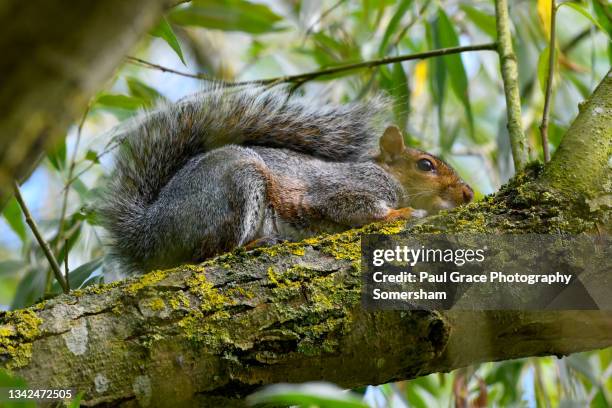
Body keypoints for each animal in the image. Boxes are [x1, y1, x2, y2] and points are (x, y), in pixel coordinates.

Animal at [99, 85, 474, 274]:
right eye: (425, 165)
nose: (468, 193)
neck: (387, 175)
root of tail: (148, 232)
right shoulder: (346, 190)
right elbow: (354, 209)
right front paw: (400, 213)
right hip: (235, 186)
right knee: (210, 251)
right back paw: (257, 244)